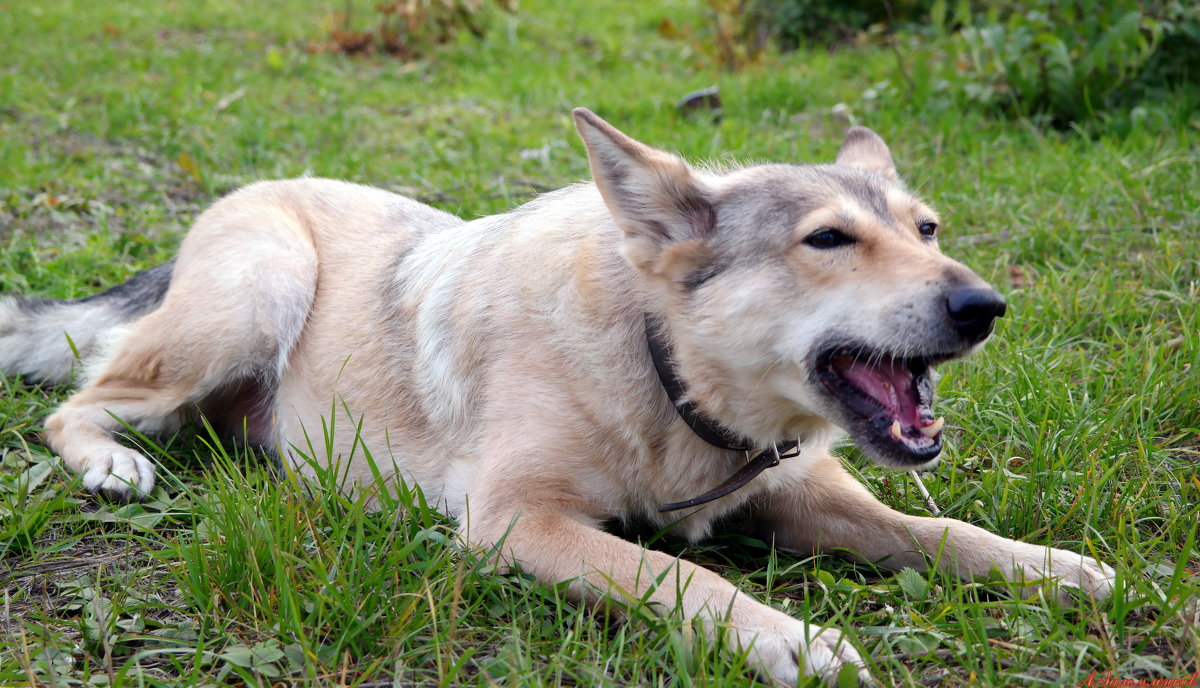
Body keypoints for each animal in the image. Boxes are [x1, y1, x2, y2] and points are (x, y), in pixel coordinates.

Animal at [2, 109, 1113, 681]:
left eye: (927, 229)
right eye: (829, 239)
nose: (984, 304)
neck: (660, 371)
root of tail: (248, 193)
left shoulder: (798, 488)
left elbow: (940, 532)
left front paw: (1046, 565)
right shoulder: (517, 519)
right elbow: (682, 576)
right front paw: (788, 639)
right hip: (256, 290)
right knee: (77, 402)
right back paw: (112, 461)